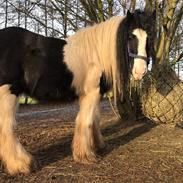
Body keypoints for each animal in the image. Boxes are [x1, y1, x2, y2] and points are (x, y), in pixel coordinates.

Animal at [0, 9, 155, 174]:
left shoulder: (96, 94)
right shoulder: (91, 92)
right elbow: (85, 121)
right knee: (6, 127)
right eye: (130, 36)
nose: (141, 72)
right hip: (8, 92)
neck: (96, 54)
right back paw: (22, 164)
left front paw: (98, 145)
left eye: (149, 38)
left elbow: (95, 119)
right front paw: (85, 155)